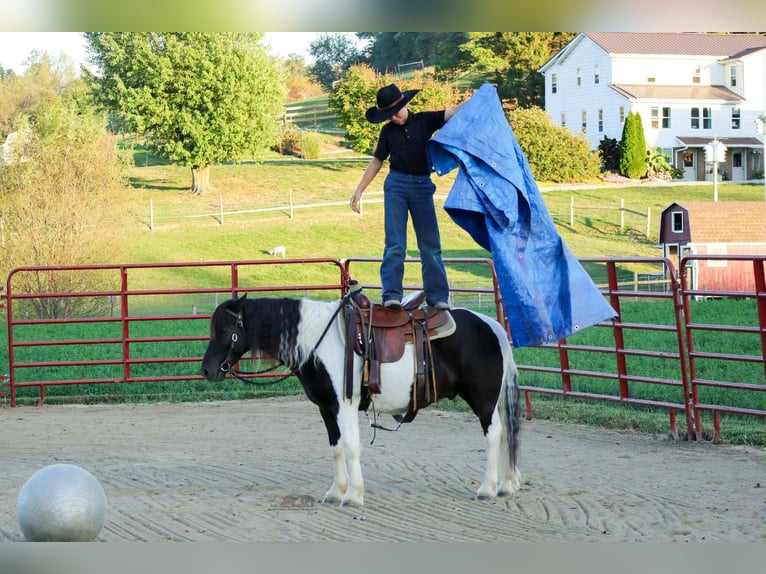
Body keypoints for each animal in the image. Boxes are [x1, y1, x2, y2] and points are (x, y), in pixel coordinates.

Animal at [200, 292, 521, 507]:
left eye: (225, 330)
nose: (207, 370)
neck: (319, 342)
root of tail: (491, 325)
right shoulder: (326, 408)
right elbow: (336, 448)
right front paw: (335, 492)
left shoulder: (345, 405)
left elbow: (352, 447)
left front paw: (353, 496)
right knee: (507, 434)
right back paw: (507, 485)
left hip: (483, 399)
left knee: (495, 434)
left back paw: (488, 488)